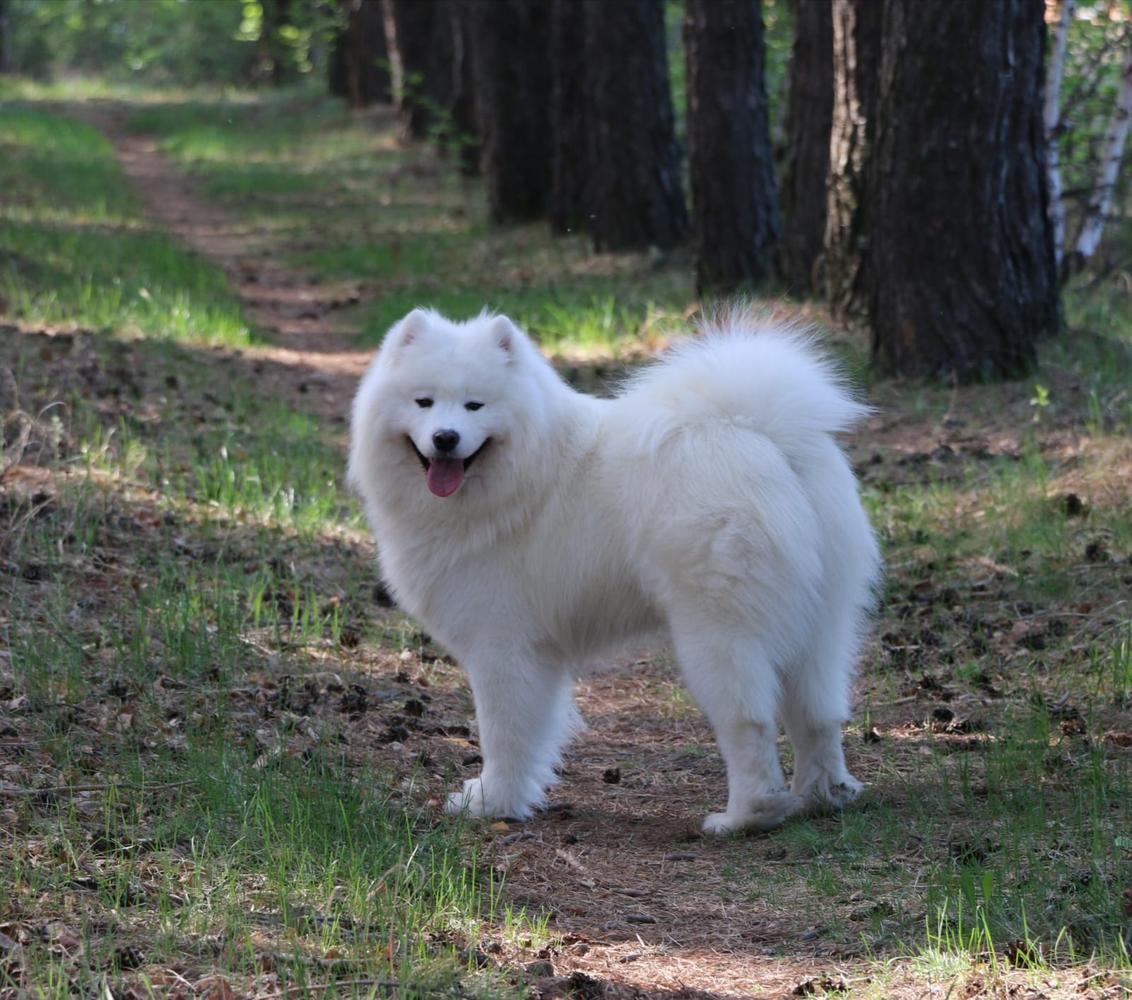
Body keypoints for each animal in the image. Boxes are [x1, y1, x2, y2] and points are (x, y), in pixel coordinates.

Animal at [348, 308, 878, 838]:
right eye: (424, 402)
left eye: (475, 405)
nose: (446, 438)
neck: (520, 476)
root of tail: (761, 434)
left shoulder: (502, 644)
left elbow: (504, 734)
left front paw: (493, 803)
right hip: (822, 619)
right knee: (818, 714)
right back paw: (825, 795)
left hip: (719, 630)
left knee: (749, 722)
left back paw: (744, 816)